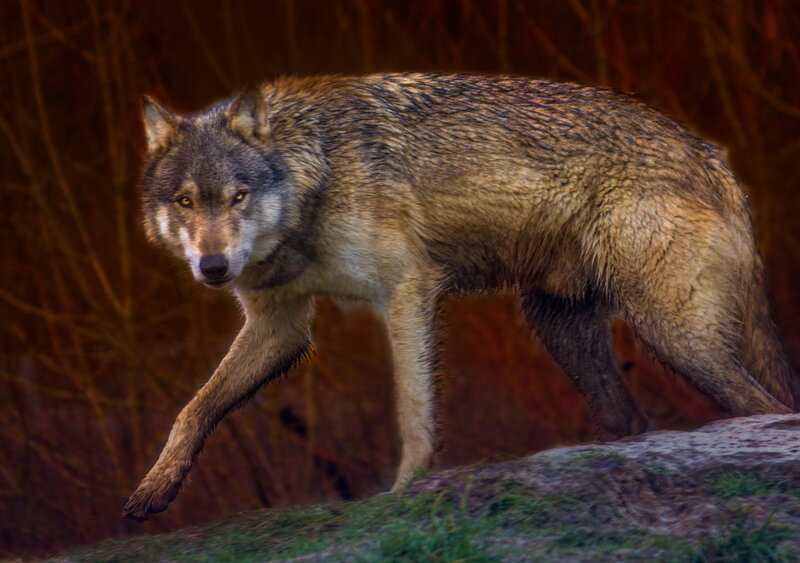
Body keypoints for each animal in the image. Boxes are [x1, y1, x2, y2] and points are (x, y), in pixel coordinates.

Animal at [122, 73, 796, 521]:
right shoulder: (279, 326)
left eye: (238, 197)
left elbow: (412, 409)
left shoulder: (408, 290)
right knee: (632, 419)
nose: (213, 266)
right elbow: (195, 409)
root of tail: (712, 156)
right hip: (562, 330)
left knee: (762, 405)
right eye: (186, 202)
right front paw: (155, 488)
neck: (314, 176)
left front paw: (406, 489)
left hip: (673, 336)